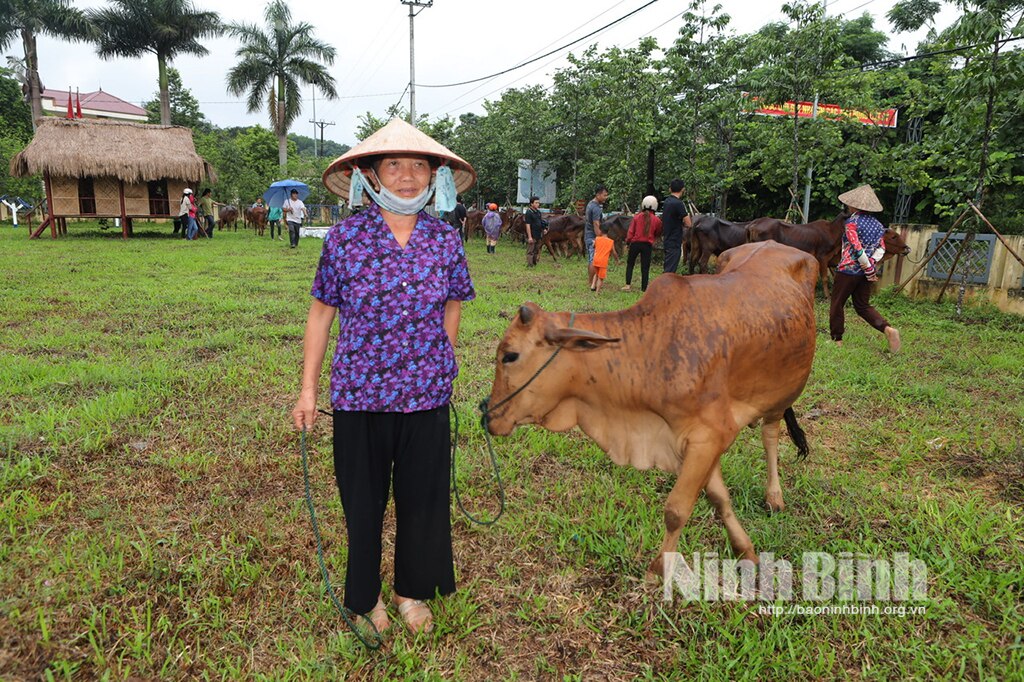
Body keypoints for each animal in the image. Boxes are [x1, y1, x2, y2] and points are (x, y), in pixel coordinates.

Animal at [485, 241, 815, 577]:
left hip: (780, 395)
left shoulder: (711, 435)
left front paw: (658, 572)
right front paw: (745, 551)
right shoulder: (694, 442)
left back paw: (774, 496)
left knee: (770, 434)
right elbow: (719, 499)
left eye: (509, 356)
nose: (489, 416)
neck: (653, 352)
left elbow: (676, 510)